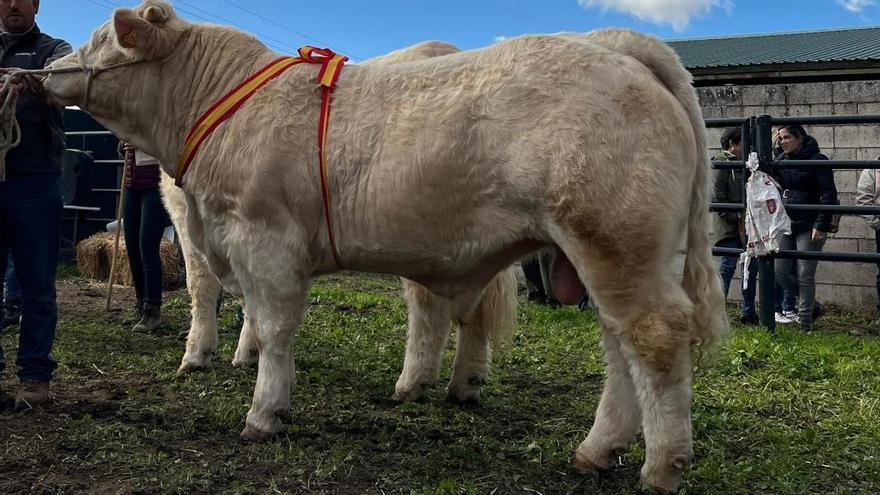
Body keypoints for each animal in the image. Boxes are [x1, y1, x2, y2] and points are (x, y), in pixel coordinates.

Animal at [43, 2, 728, 492]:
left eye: (103, 37)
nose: (47, 73)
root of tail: (616, 46)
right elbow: (255, 320)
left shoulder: (263, 240)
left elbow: (270, 324)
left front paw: (263, 411)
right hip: (608, 254)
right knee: (618, 345)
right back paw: (597, 449)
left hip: (614, 242)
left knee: (652, 338)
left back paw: (662, 466)